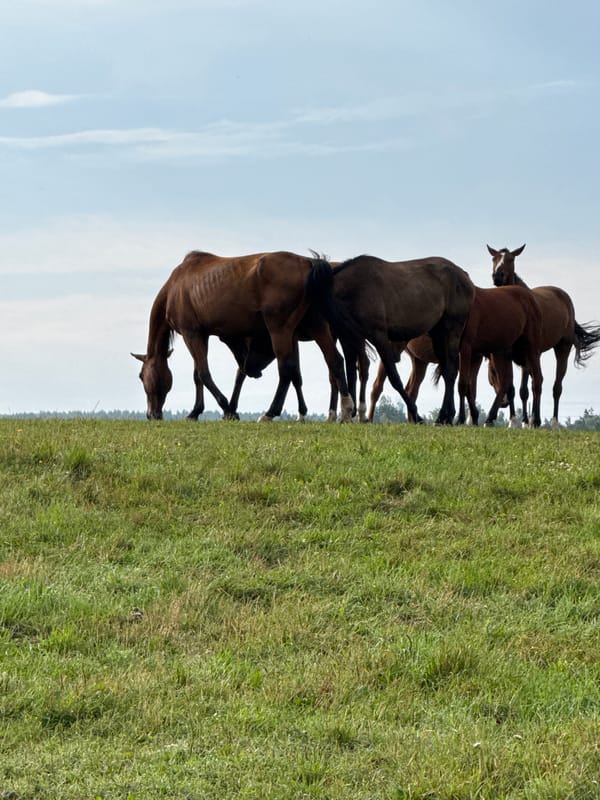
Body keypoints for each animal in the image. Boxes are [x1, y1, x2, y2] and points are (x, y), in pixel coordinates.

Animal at [132, 250, 354, 422]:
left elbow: (204, 373)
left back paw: (270, 413)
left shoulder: (191, 333)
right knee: (334, 360)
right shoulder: (202, 335)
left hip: (280, 329)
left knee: (286, 369)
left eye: (141, 376)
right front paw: (196, 411)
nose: (152, 414)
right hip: (316, 327)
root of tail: (308, 262)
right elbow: (198, 375)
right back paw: (346, 410)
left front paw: (228, 409)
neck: (176, 286)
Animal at [306, 255, 476, 424]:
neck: (356, 288)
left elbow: (394, 377)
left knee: (451, 371)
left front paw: (417, 415)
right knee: (447, 371)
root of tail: (464, 276)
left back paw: (447, 415)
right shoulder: (350, 338)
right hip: (438, 335)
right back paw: (443, 416)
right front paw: (349, 413)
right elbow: (351, 373)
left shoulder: (379, 337)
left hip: (452, 331)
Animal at [488, 244, 600, 428]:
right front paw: (515, 421)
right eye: (494, 258)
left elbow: (529, 387)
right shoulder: (511, 355)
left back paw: (553, 423)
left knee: (556, 387)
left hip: (562, 349)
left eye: (511, 259)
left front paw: (530, 421)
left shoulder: (529, 355)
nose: (497, 276)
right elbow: (515, 388)